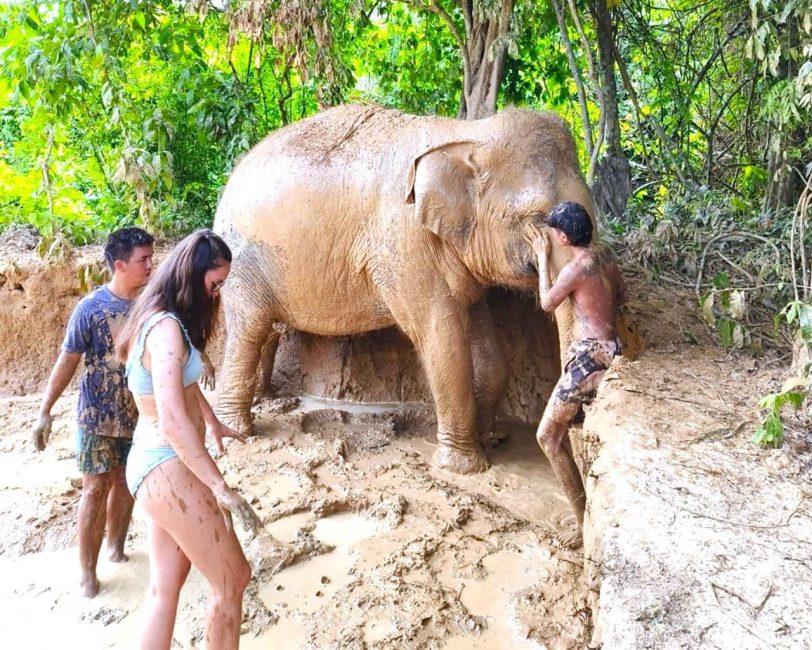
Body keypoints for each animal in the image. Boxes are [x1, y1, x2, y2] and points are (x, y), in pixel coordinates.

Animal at [214, 104, 596, 474]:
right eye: (537, 219)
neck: (465, 133)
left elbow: (485, 344)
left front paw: (493, 439)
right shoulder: (405, 245)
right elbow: (442, 338)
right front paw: (462, 467)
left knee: (267, 331)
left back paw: (266, 399)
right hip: (242, 262)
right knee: (249, 329)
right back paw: (237, 431)